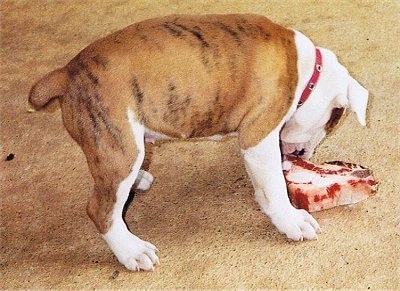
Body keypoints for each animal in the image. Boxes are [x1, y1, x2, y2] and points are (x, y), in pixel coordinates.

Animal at [28, 14, 368, 272]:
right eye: (336, 117)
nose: (308, 154)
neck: (306, 71)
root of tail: (67, 73)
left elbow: (264, 186)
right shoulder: (257, 137)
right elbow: (273, 187)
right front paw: (291, 221)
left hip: (127, 146)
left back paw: (139, 180)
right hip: (118, 146)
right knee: (100, 209)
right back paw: (131, 251)